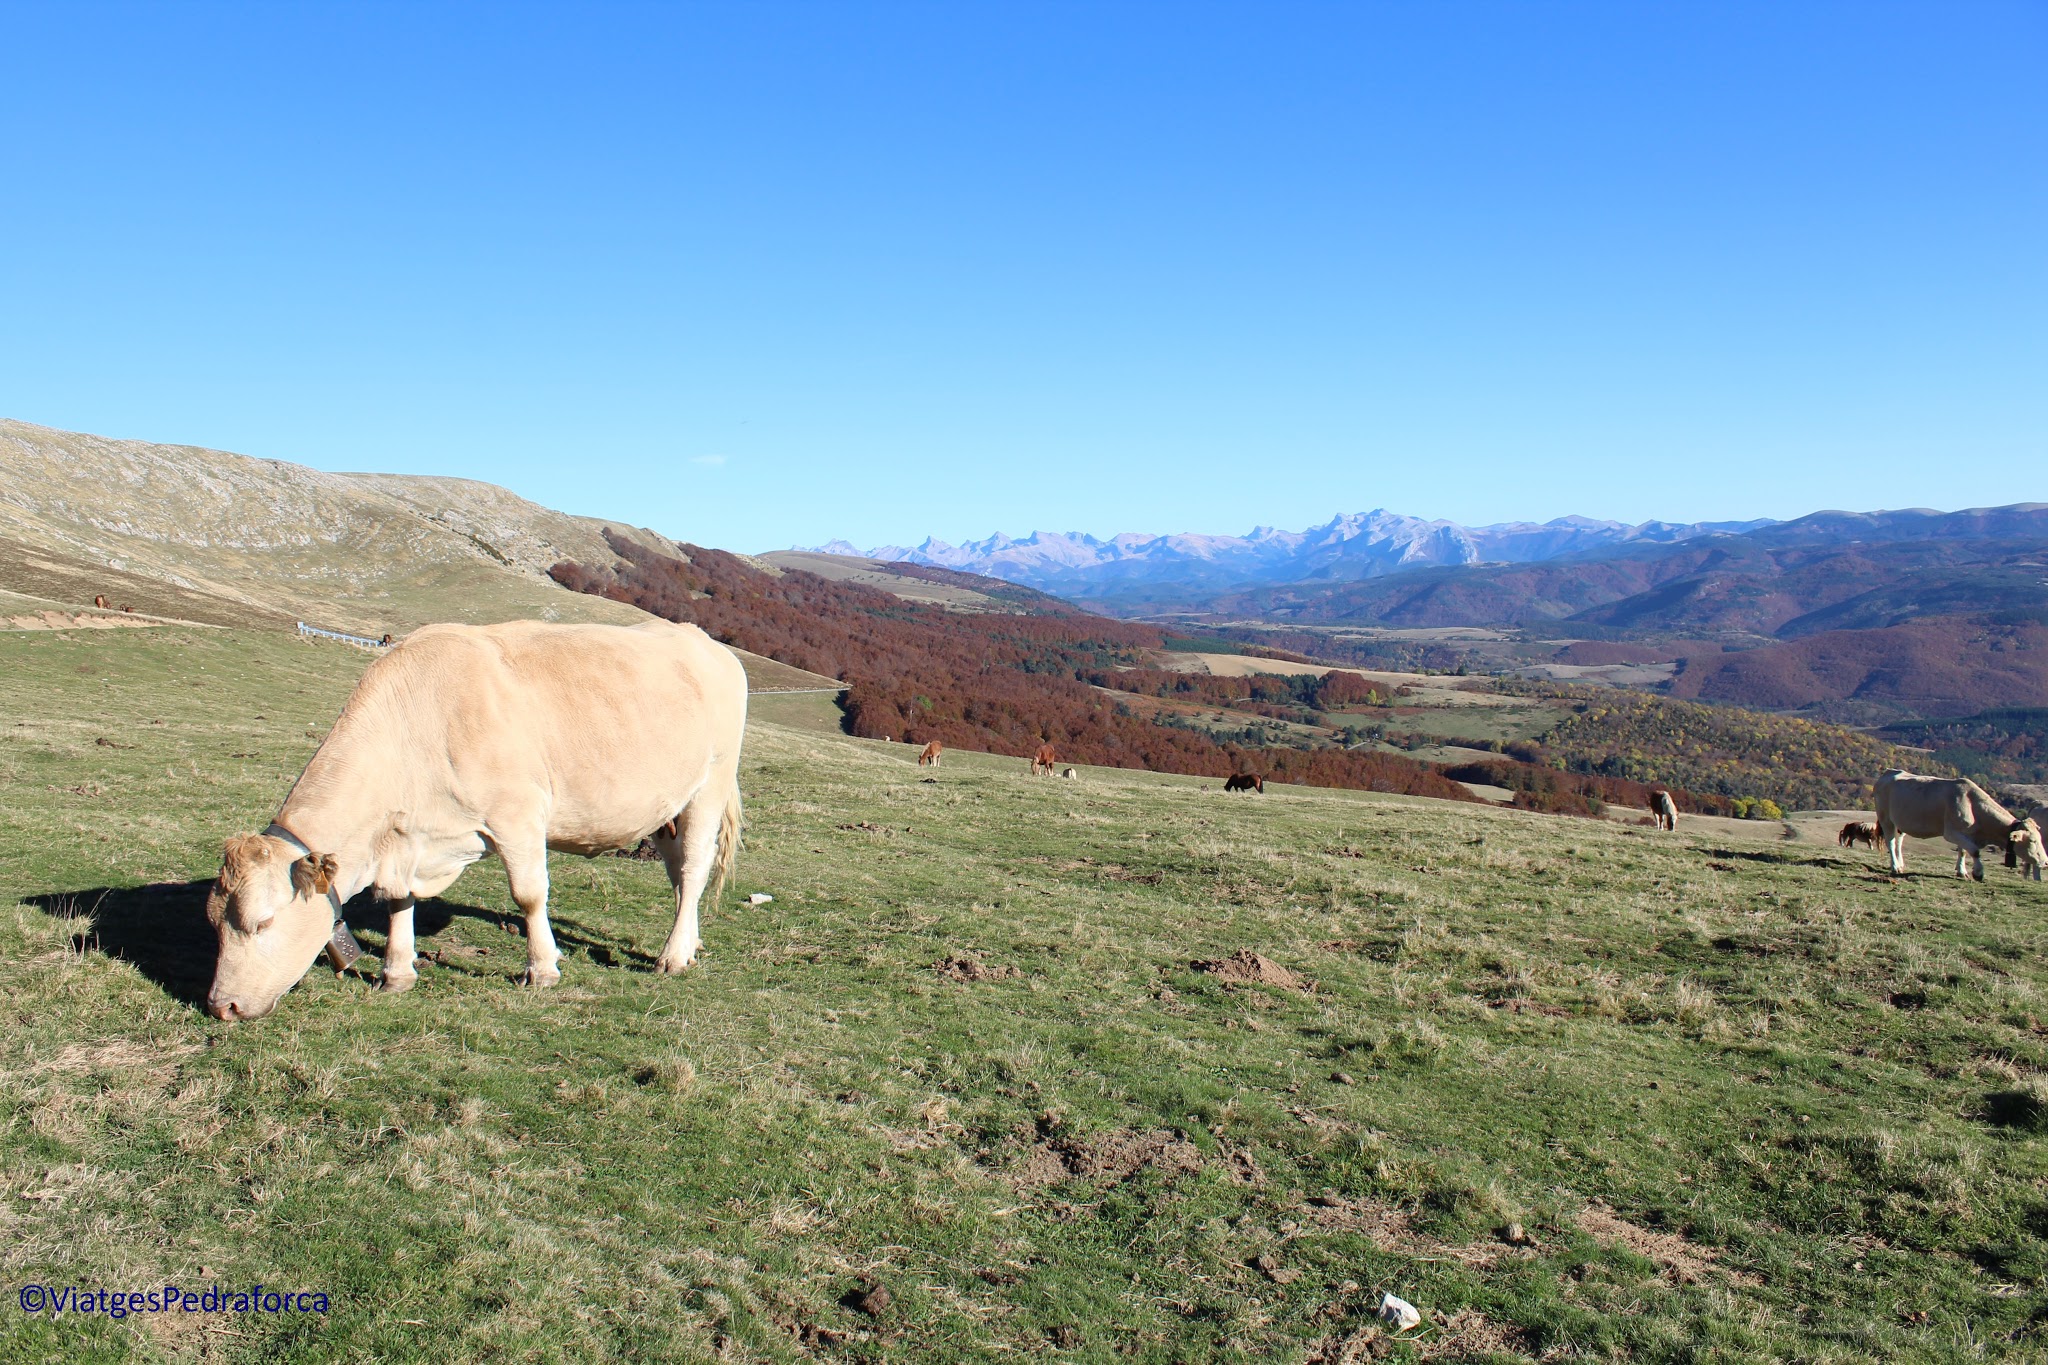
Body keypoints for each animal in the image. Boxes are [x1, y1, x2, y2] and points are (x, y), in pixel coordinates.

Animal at [203, 618, 749, 1015]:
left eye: (263, 921)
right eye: (214, 923)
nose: (220, 1006)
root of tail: (703, 639)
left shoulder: (518, 814)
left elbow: (529, 895)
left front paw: (542, 968)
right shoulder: (405, 837)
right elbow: (398, 899)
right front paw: (396, 973)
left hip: (710, 785)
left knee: (694, 868)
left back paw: (672, 956)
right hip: (667, 808)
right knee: (680, 875)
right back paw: (689, 943)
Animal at [1875, 769, 2039, 888]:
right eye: (2032, 841)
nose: (2043, 861)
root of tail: (1889, 772)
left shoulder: (1966, 832)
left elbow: (1964, 851)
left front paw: (1961, 871)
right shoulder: (1951, 832)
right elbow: (1974, 850)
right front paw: (1978, 873)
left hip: (1900, 822)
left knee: (1899, 842)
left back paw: (1900, 864)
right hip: (1885, 818)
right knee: (1890, 842)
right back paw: (1895, 867)